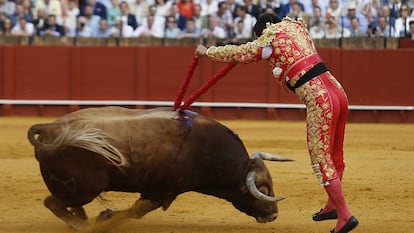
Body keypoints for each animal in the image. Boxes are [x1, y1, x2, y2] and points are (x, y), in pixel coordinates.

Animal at [27, 107, 292, 229]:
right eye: (262, 190)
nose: (273, 215)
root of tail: (48, 128)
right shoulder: (163, 191)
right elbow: (137, 211)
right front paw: (104, 218)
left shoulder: (160, 192)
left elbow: (135, 210)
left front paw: (103, 216)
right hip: (83, 188)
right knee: (53, 203)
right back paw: (83, 226)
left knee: (64, 204)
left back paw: (81, 220)